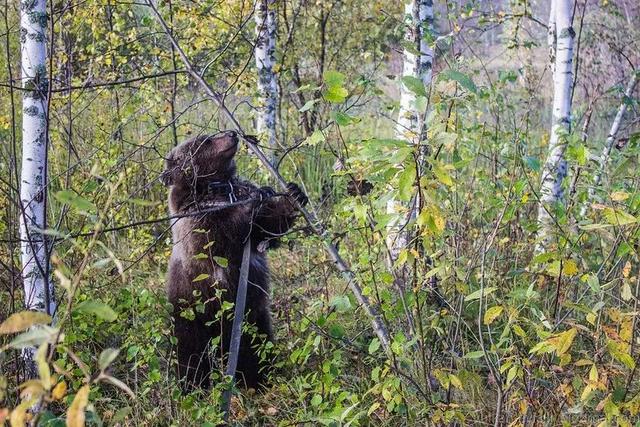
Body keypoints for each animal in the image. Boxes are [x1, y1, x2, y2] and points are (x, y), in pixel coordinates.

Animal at [162, 131, 308, 392]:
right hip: (189, 310)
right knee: (191, 352)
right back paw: (193, 386)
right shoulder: (191, 215)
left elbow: (268, 227)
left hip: (253, 315)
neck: (218, 187)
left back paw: (259, 380)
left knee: (256, 347)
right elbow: (212, 234)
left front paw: (292, 193)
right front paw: (252, 202)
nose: (231, 134)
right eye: (205, 141)